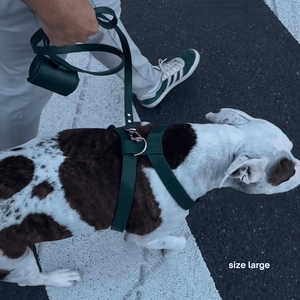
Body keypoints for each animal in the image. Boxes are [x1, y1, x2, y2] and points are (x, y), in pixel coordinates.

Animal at [0, 109, 300, 288]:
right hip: (14, 257)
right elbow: (176, 241)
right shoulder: (140, 236)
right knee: (28, 279)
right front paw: (170, 249)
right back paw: (59, 279)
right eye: (287, 173)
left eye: (292, 148)